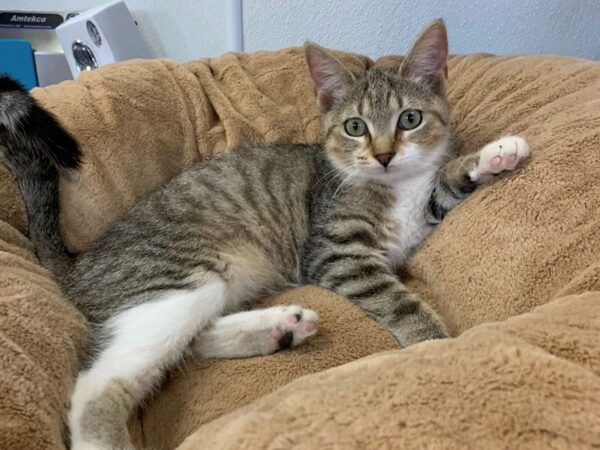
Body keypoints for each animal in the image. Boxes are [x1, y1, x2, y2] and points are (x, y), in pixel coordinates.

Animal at [0, 19, 524, 448]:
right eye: (355, 126)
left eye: (409, 119)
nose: (383, 155)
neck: (394, 186)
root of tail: (79, 263)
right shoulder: (336, 253)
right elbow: (399, 301)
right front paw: (437, 346)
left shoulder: (415, 214)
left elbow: (442, 190)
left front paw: (494, 155)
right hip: (181, 276)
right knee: (98, 385)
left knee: (188, 342)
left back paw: (278, 329)